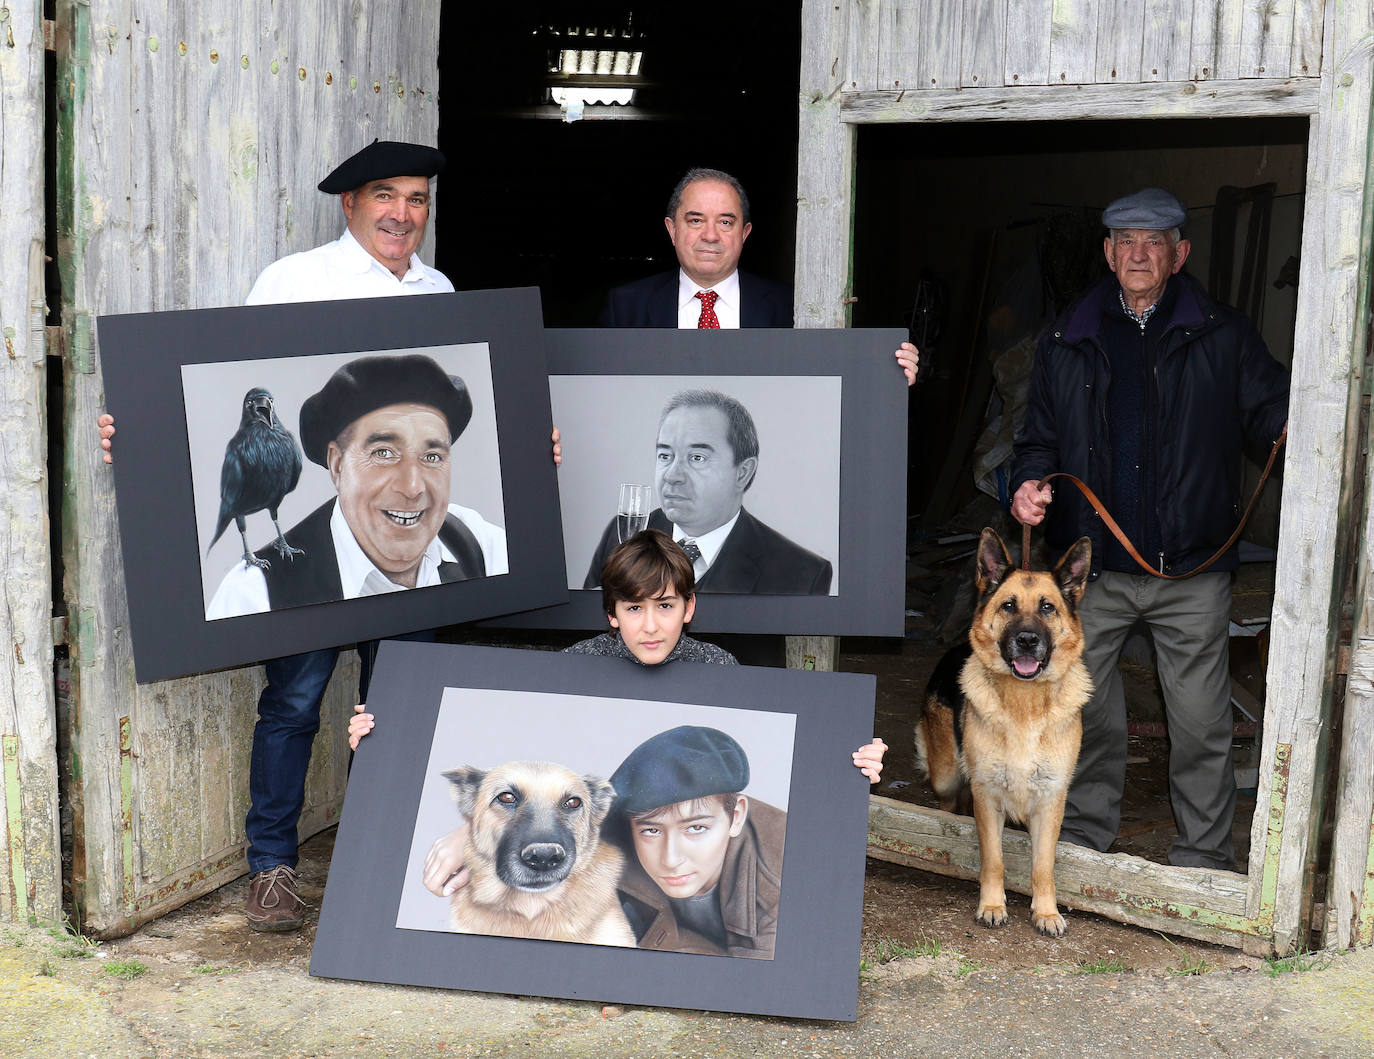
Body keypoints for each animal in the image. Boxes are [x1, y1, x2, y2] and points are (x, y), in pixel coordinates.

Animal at [912, 530, 1093, 934]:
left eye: (1047, 607)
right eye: (1009, 606)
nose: (1027, 639)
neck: (1024, 704)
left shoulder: (1050, 801)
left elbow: (1043, 867)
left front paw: (1046, 912)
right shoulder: (989, 796)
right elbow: (993, 860)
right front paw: (992, 906)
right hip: (946, 775)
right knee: (949, 801)